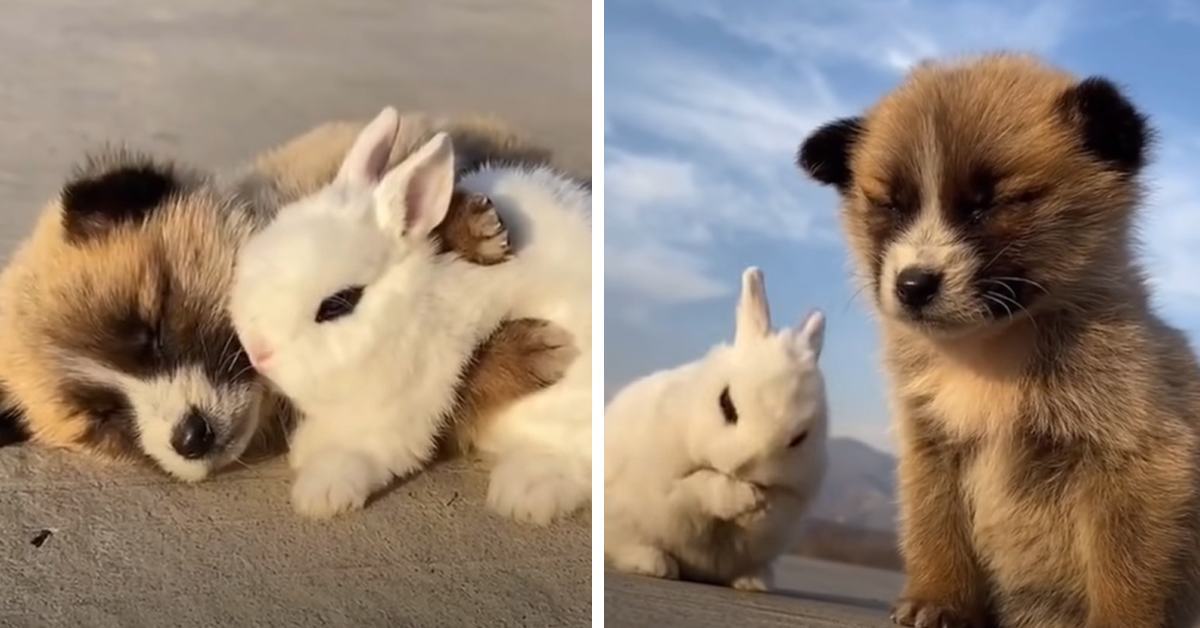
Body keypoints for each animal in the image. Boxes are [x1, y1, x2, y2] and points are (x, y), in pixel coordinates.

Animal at [0, 112, 566, 485]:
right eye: (103, 420)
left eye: (154, 329)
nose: (191, 438)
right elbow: (442, 386)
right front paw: (516, 353)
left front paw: (465, 224)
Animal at [229, 106, 590, 521]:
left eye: (338, 303)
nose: (258, 353)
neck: (415, 304)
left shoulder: (402, 411)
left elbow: (360, 452)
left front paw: (320, 495)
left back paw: (526, 493)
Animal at [609, 267, 825, 593]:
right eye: (726, 403)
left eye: (799, 438)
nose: (742, 467)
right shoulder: (668, 487)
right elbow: (702, 484)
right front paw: (746, 497)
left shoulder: (790, 503)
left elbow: (768, 513)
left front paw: (759, 503)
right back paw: (656, 564)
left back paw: (754, 581)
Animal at [796, 54, 1200, 628]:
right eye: (891, 206)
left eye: (987, 205)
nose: (913, 285)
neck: (988, 353)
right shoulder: (932, 448)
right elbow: (935, 530)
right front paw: (939, 599)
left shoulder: (1139, 451)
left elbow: (1126, 566)